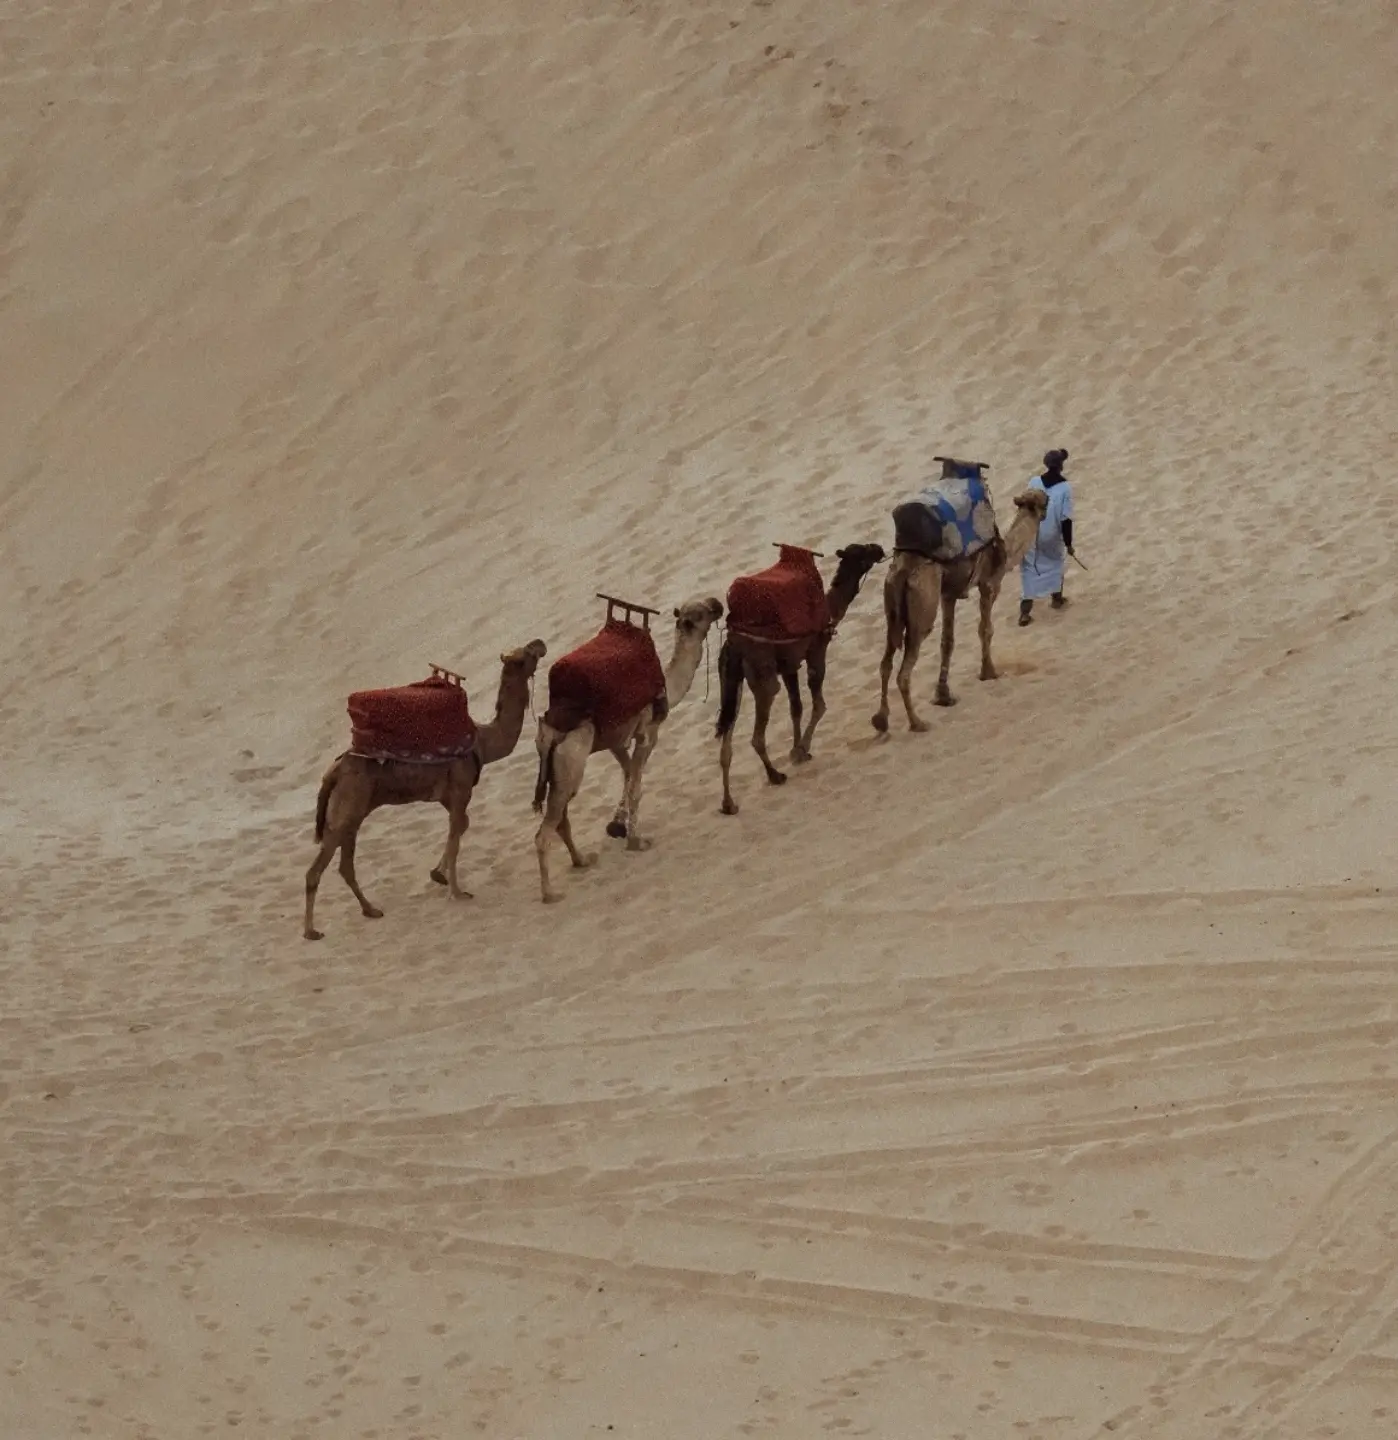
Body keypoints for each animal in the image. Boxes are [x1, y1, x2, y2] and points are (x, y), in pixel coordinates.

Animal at [304, 639, 547, 940]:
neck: (483, 742)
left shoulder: (447, 796)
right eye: (525, 655)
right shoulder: (461, 789)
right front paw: (458, 892)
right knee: (317, 869)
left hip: (353, 811)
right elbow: (455, 838)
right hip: (348, 806)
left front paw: (438, 875)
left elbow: (461, 827)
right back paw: (311, 931)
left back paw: (371, 910)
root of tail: (333, 771)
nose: (540, 643)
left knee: (345, 865)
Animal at [532, 596, 723, 903]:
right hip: (572, 765)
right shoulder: (648, 732)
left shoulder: (617, 740)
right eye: (700, 612)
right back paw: (550, 893)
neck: (667, 687)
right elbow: (635, 786)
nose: (718, 603)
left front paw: (618, 826)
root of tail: (550, 733)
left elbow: (628, 775)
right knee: (545, 832)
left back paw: (581, 860)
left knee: (561, 818)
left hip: (557, 772)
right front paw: (636, 840)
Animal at [715, 543, 886, 814]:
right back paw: (775, 775)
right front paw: (800, 750)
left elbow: (796, 707)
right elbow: (819, 705)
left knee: (726, 736)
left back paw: (728, 803)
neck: (829, 610)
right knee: (757, 734)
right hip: (762, 677)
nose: (878, 548)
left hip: (731, 681)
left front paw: (798, 750)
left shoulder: (789, 665)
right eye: (861, 552)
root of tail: (734, 644)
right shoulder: (815, 651)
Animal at [872, 487, 1049, 733]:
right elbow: (986, 629)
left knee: (885, 662)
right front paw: (989, 672)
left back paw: (881, 720)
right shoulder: (990, 583)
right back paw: (917, 723)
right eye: (1043, 500)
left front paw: (944, 696)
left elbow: (947, 642)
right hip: (923, 609)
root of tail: (903, 571)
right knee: (904, 671)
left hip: (892, 608)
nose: (1048, 497)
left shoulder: (948, 595)